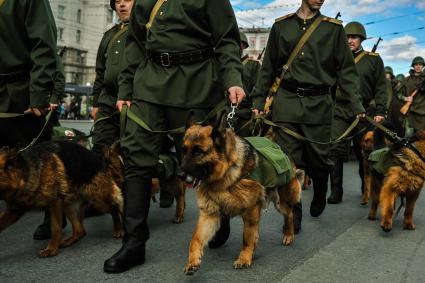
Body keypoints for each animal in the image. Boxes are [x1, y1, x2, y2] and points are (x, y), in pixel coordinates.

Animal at [181, 115, 304, 276]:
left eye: (198, 152)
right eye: (184, 151)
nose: (179, 175)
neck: (225, 175)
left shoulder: (251, 212)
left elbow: (247, 237)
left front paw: (245, 257)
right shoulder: (209, 214)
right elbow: (195, 239)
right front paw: (192, 261)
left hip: (281, 203)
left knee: (289, 213)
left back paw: (289, 234)